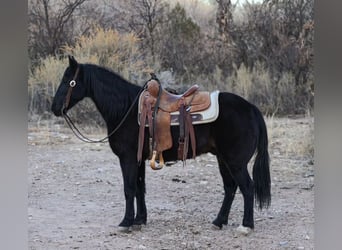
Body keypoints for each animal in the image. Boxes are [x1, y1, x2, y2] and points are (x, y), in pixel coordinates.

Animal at [51, 56, 270, 232]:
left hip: (235, 162)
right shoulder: (138, 159)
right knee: (230, 188)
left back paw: (246, 226)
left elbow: (129, 188)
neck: (125, 108)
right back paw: (218, 221)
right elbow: (139, 188)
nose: (54, 108)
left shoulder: (128, 158)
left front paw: (126, 222)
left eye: (69, 81)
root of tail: (251, 108)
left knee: (247, 187)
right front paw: (139, 220)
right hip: (223, 159)